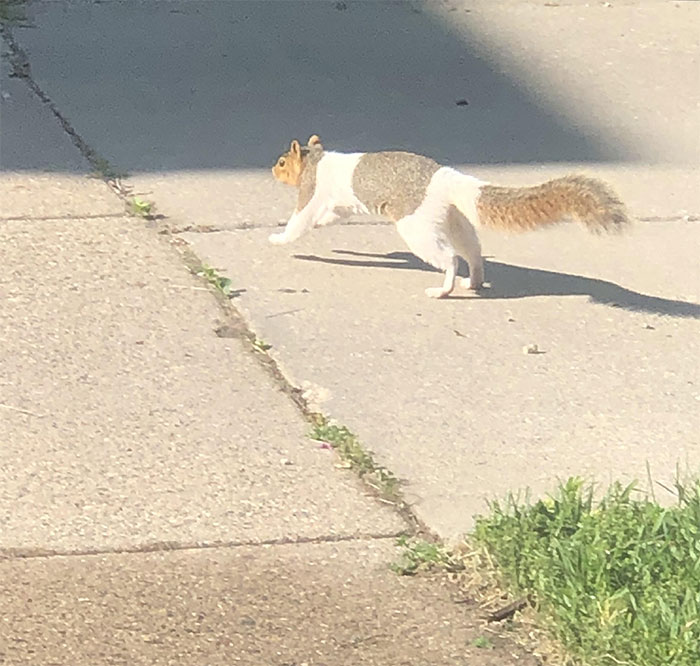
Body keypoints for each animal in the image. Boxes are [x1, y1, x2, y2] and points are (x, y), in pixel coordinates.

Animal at [270, 135, 629, 298]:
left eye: (283, 162)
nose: (273, 170)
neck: (316, 161)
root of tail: (444, 179)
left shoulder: (312, 192)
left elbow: (300, 220)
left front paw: (278, 237)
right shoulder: (339, 206)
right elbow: (329, 218)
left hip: (418, 227)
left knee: (450, 258)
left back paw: (444, 289)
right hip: (454, 220)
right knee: (473, 251)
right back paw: (475, 280)